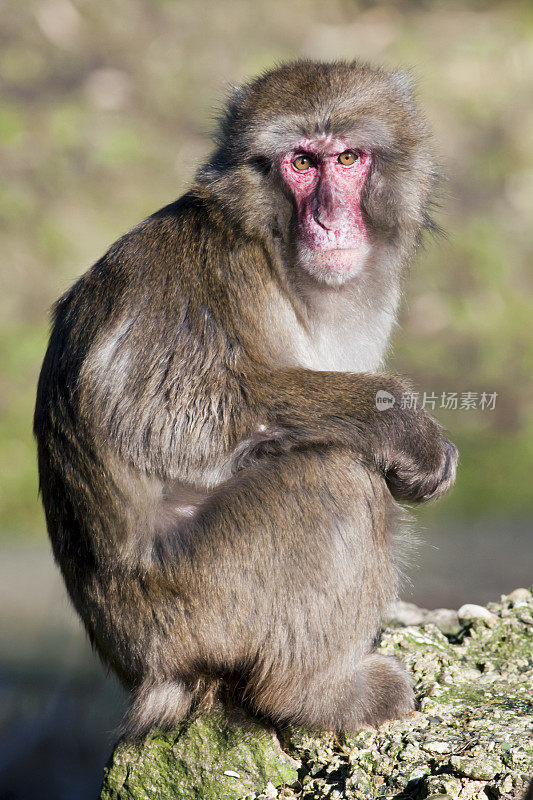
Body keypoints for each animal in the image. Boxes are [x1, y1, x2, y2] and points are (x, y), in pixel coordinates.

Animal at [34, 61, 458, 736]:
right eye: (301, 164)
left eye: (347, 157)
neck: (271, 246)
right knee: (332, 477)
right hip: (199, 603)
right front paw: (403, 426)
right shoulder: (212, 273)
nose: (328, 219)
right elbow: (162, 411)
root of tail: (143, 673)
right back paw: (315, 694)